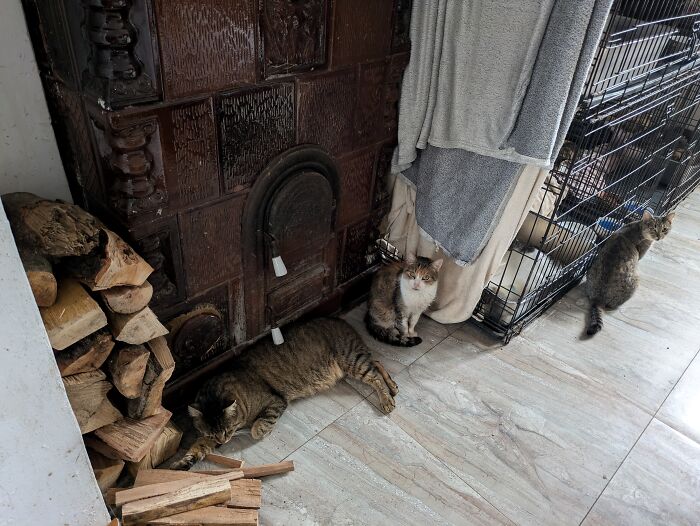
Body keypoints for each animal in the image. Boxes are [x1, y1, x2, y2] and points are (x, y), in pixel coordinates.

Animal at [172, 318, 396, 470]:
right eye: (213, 434)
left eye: (228, 430)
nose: (222, 443)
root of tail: (341, 320)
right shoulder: (206, 437)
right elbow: (197, 448)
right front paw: (182, 464)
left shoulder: (276, 401)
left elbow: (259, 425)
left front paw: (259, 430)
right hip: (353, 362)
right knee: (377, 363)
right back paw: (393, 387)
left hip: (351, 360)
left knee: (375, 375)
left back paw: (387, 400)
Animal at [584, 208, 672, 336]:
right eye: (653, 228)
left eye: (664, 229)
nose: (659, 237)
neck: (637, 227)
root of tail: (598, 299)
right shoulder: (641, 253)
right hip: (636, 282)